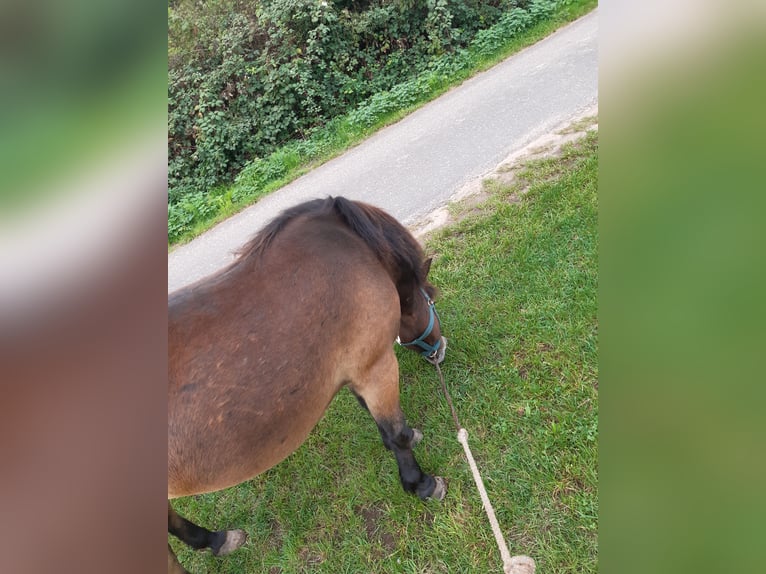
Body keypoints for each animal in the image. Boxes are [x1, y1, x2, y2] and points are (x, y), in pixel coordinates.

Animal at [168, 196, 448, 573]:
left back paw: (218, 540)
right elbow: (396, 432)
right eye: (430, 297)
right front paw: (422, 484)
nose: (440, 349)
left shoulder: (356, 369)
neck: (353, 250)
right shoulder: (376, 366)